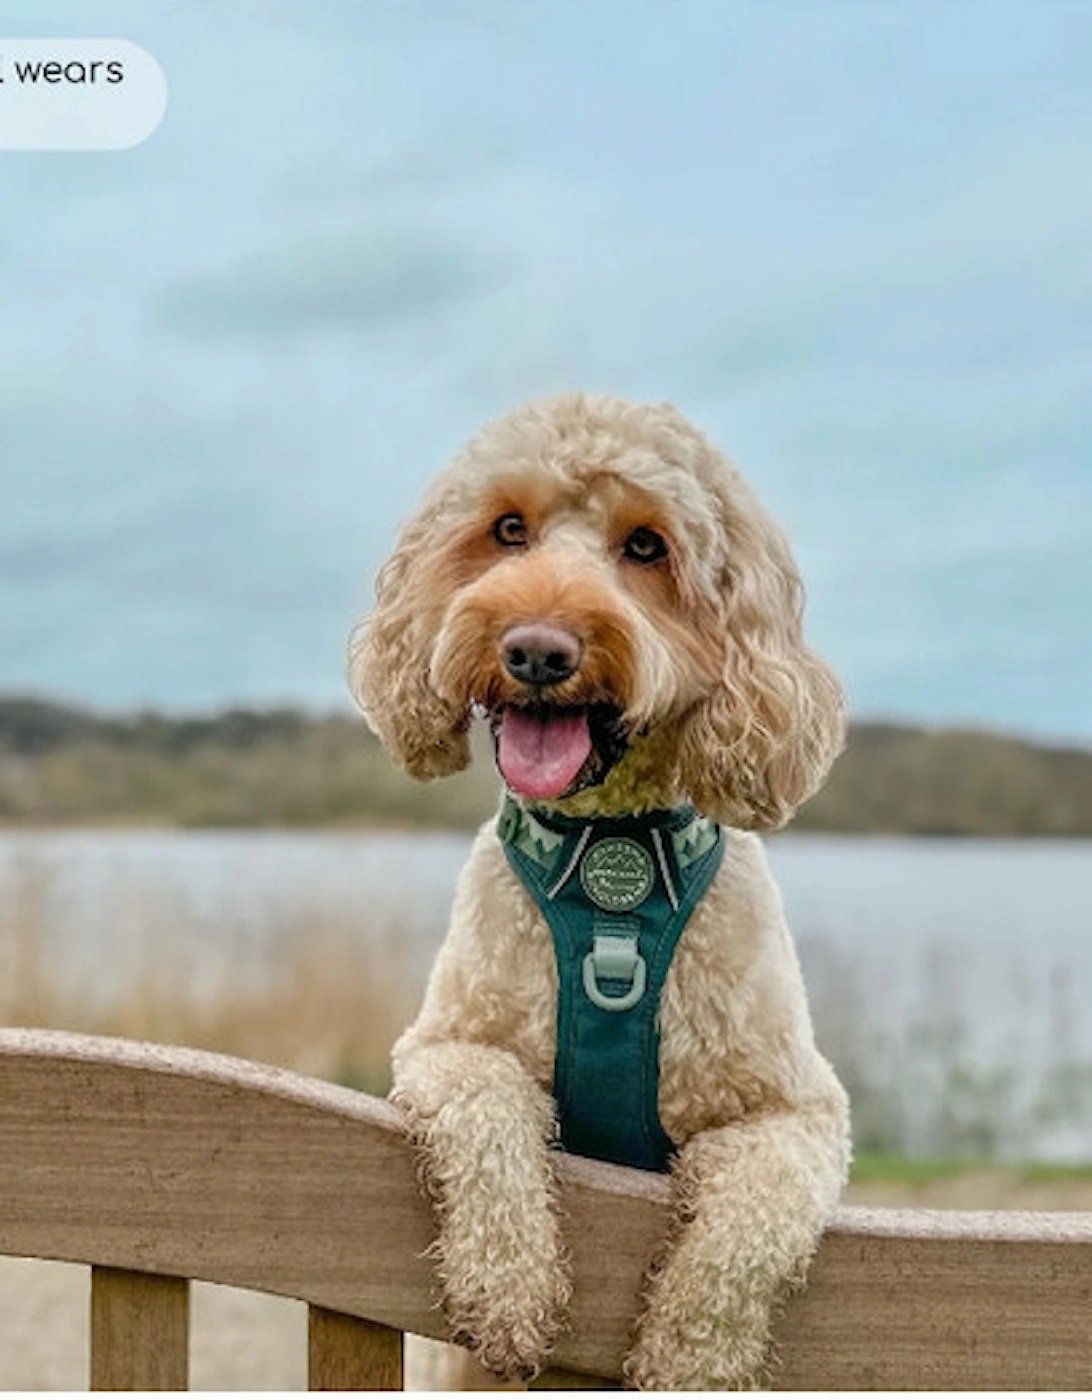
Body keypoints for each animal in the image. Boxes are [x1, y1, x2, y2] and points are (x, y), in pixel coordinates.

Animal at [350, 394, 851, 1388]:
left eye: (647, 545)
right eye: (508, 529)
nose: (537, 651)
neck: (610, 860)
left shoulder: (799, 1111)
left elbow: (750, 1223)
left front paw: (690, 1356)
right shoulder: (443, 1046)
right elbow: (489, 1110)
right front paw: (509, 1290)